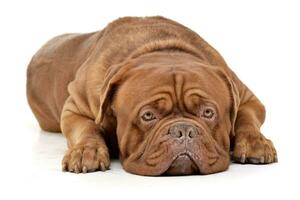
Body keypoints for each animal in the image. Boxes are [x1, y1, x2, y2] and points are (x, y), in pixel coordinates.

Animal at [27, 16, 278, 175]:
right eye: (148, 116)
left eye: (208, 112)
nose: (183, 130)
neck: (162, 50)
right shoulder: (75, 108)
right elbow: (87, 128)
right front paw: (86, 151)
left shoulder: (246, 97)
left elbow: (247, 118)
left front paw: (255, 143)